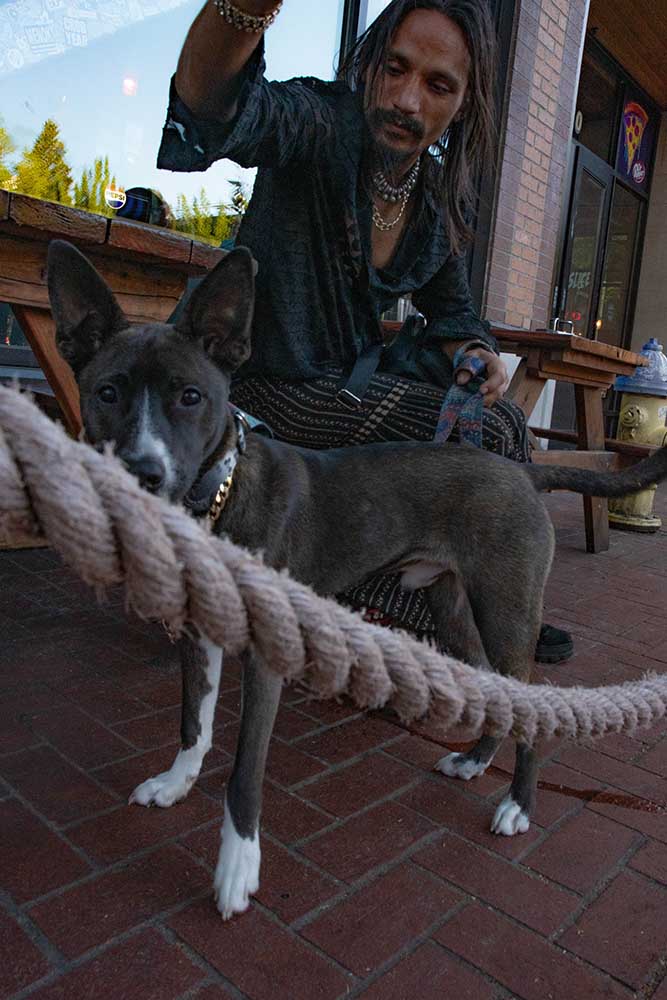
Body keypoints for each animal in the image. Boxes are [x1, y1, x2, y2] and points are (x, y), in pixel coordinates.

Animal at [46, 239, 667, 919]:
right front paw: (176, 783)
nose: (143, 472)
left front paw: (238, 867)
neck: (218, 498)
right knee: (497, 689)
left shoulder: (268, 654)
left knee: (529, 701)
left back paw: (517, 806)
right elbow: (193, 724)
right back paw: (477, 762)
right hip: (452, 606)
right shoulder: (199, 634)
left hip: (505, 609)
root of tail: (523, 473)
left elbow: (244, 771)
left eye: (190, 397)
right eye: (107, 392)